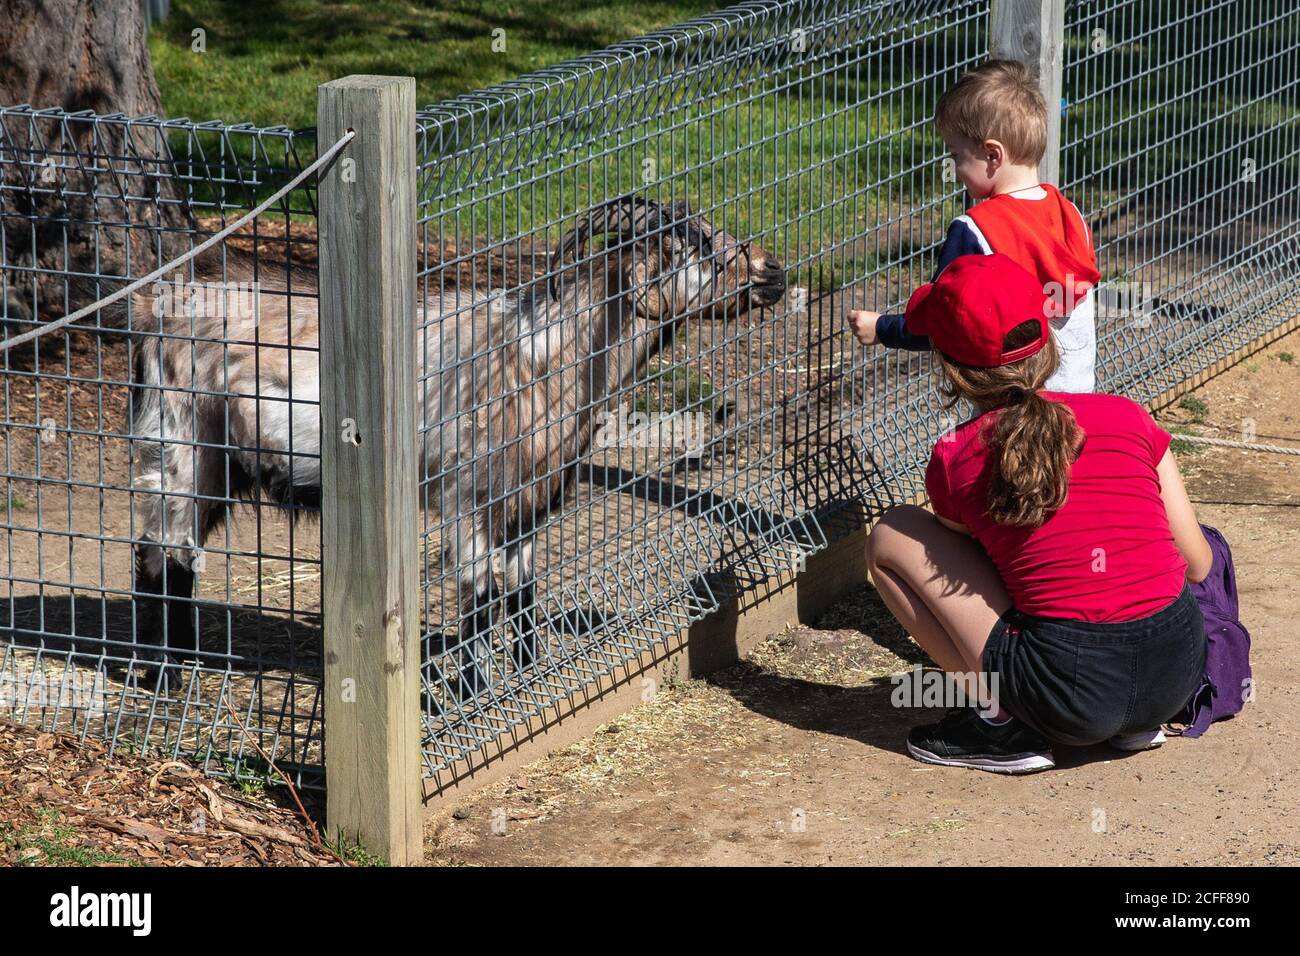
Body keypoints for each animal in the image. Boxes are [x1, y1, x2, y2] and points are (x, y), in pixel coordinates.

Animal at [131, 196, 785, 702]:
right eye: (698, 251)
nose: (773, 271)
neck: (542, 357)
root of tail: (157, 312)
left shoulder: (528, 501)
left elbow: (521, 589)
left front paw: (528, 675)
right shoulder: (466, 498)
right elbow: (478, 594)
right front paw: (473, 693)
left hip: (218, 463)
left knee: (181, 554)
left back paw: (181, 662)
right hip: (178, 441)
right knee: (157, 551)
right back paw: (158, 676)